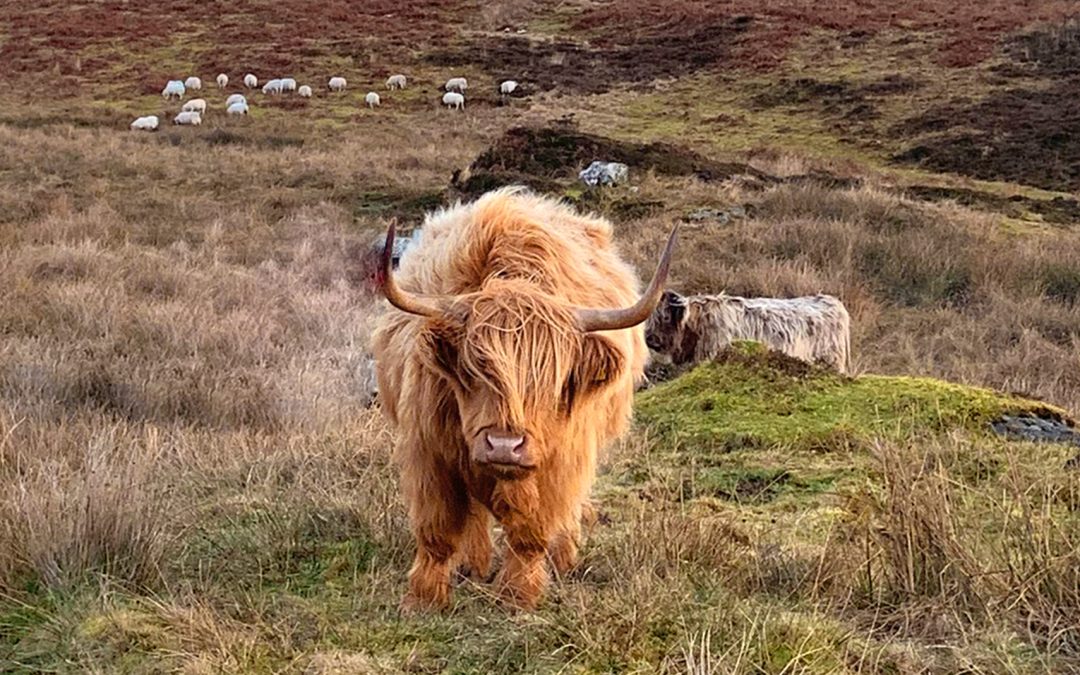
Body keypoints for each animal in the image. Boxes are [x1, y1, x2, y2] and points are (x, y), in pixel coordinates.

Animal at [371, 188, 677, 611]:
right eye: (474, 370)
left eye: (552, 379)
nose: (504, 445)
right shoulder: (430, 452)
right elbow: (438, 529)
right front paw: (424, 597)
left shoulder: (560, 461)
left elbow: (531, 531)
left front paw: (519, 594)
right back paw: (475, 564)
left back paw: (563, 557)